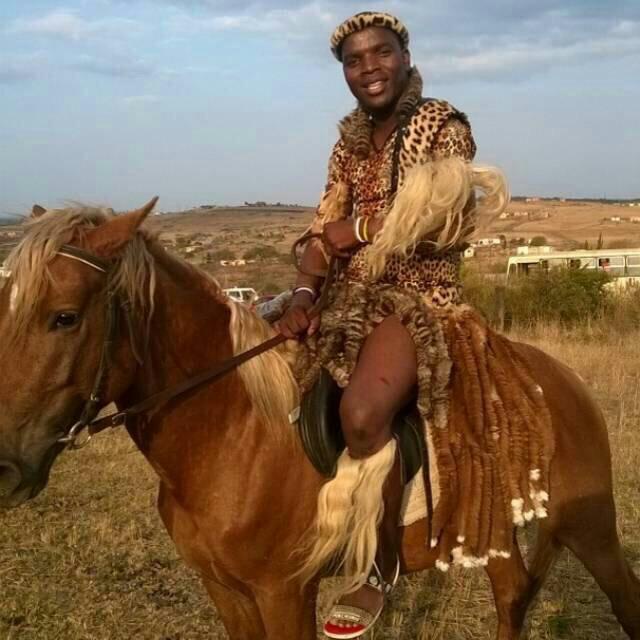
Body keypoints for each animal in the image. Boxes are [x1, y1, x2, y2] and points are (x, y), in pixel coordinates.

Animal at [0, 200, 638, 640]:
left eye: (64, 317)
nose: (6, 472)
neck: (233, 433)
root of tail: (560, 381)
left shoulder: (283, 593)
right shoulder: (225, 589)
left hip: (591, 527)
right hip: (496, 531)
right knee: (512, 599)